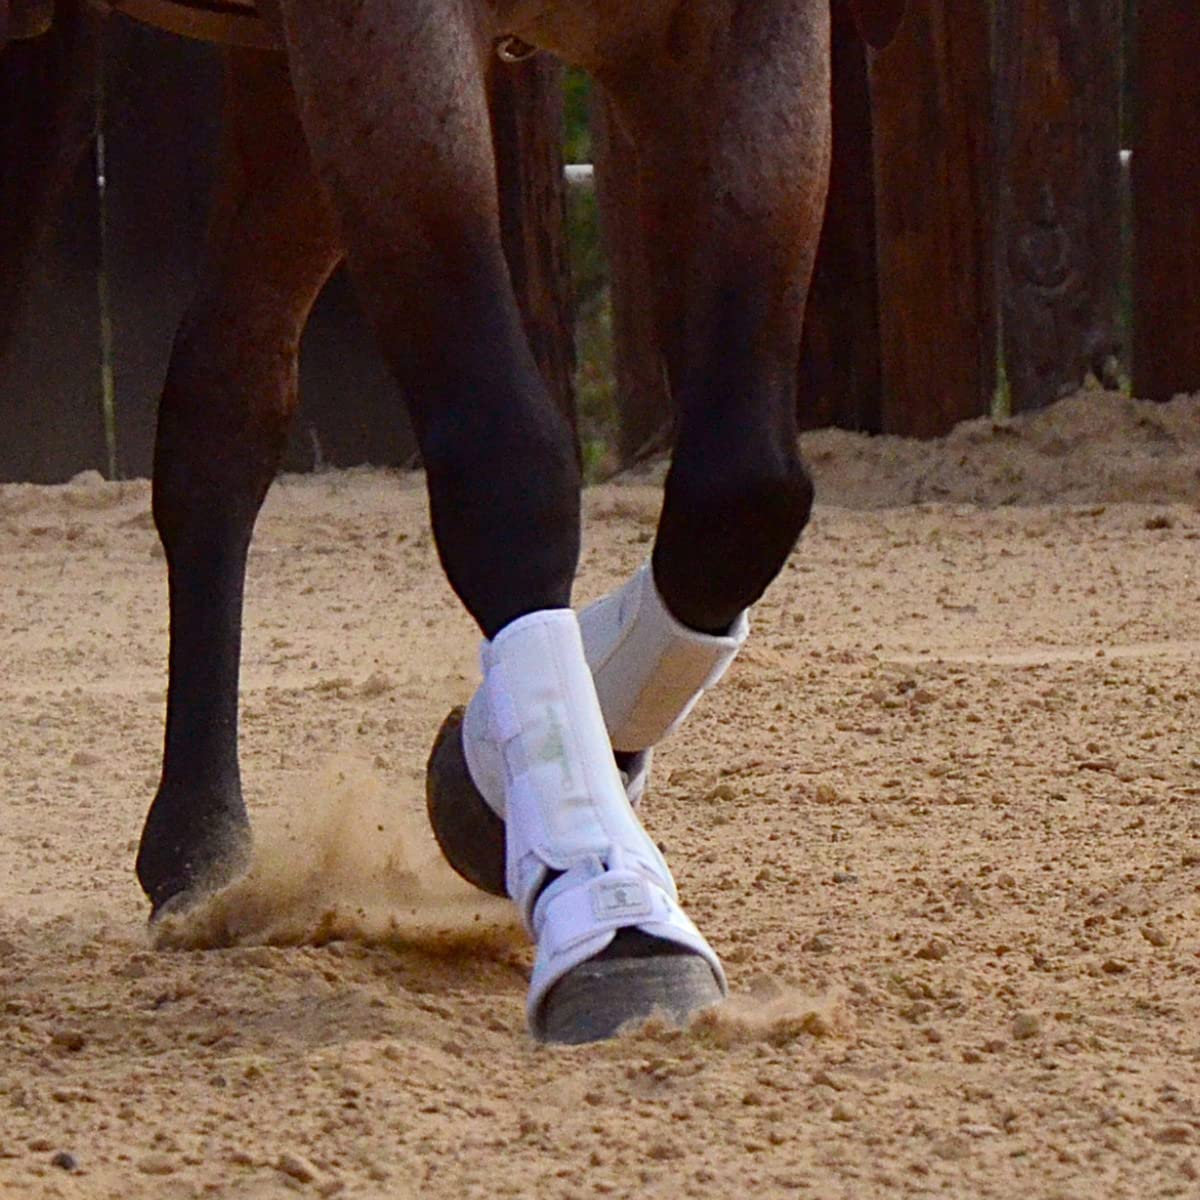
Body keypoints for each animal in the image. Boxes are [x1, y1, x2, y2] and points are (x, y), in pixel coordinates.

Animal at [4, 0, 904, 1043]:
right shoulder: (386, 39)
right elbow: (506, 471)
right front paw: (606, 912)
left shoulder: (740, 32)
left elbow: (742, 497)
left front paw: (492, 782)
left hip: (273, 84)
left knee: (222, 404)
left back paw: (199, 851)